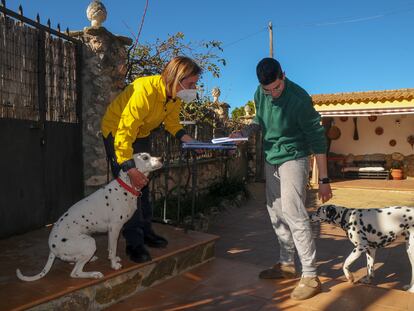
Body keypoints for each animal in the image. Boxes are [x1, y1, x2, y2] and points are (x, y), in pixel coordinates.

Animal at [16, 154, 163, 282]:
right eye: (145, 157)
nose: (161, 158)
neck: (125, 187)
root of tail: (52, 249)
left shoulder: (111, 231)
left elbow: (110, 248)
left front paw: (113, 258)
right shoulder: (115, 228)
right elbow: (113, 248)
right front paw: (114, 264)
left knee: (73, 262)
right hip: (90, 242)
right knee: (75, 273)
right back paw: (94, 274)